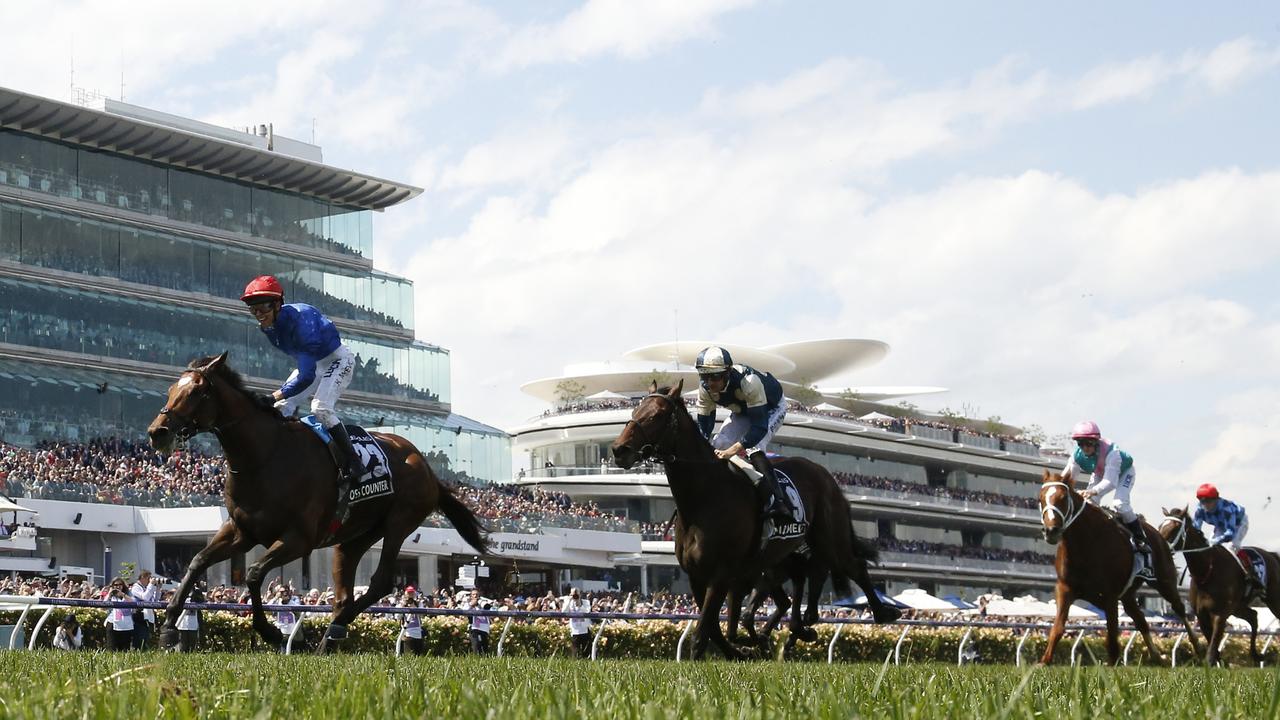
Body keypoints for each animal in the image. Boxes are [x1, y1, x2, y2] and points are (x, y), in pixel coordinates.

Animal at [146, 353, 488, 650]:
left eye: (196, 392)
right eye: (171, 389)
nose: (157, 432)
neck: (264, 455)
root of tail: (427, 467)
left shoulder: (299, 539)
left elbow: (254, 573)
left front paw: (273, 632)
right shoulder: (241, 532)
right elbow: (197, 561)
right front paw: (168, 627)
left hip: (399, 522)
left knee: (380, 582)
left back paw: (332, 630)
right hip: (354, 537)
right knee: (345, 591)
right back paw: (329, 637)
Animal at [611, 384, 901, 661]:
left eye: (656, 415)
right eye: (635, 411)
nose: (618, 449)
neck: (704, 498)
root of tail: (826, 476)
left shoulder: (722, 573)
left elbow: (705, 630)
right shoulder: (699, 576)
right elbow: (715, 627)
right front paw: (743, 649)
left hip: (829, 538)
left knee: (852, 566)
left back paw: (882, 613)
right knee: (806, 580)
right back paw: (799, 628)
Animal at [1039, 471, 1198, 661]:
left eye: (1063, 498)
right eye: (1041, 498)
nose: (1051, 531)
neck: (1085, 543)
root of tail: (1159, 536)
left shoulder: (1110, 596)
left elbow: (1113, 637)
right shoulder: (1065, 588)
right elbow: (1058, 628)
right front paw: (1044, 662)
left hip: (1165, 582)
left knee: (1179, 609)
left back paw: (1198, 648)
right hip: (1128, 595)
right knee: (1141, 620)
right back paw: (1158, 658)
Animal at [1162, 504, 1280, 661]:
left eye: (1174, 528)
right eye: (1161, 526)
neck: (1207, 571)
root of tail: (1272, 555)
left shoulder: (1220, 614)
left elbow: (1212, 650)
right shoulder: (1201, 615)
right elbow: (1212, 645)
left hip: (1273, 599)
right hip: (1237, 606)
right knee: (1253, 616)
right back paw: (1255, 654)